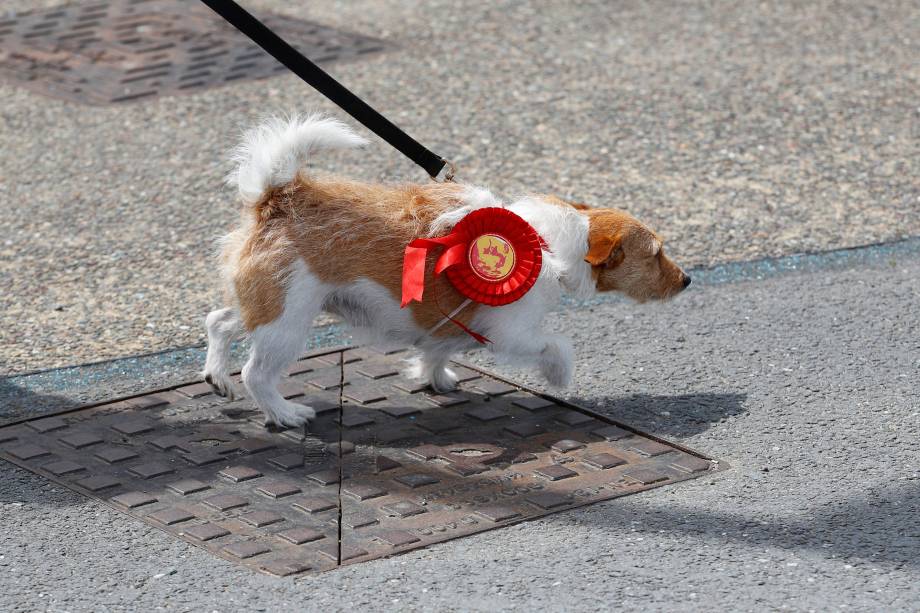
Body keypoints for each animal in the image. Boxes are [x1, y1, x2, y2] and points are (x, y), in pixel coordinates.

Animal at [203, 117, 688, 428]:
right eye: (657, 253)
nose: (687, 280)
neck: (547, 242)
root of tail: (278, 199)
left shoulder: (449, 322)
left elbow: (437, 350)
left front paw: (435, 378)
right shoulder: (513, 333)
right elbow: (556, 345)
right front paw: (560, 375)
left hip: (262, 304)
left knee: (219, 321)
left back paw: (216, 376)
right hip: (287, 321)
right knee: (256, 373)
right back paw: (284, 414)